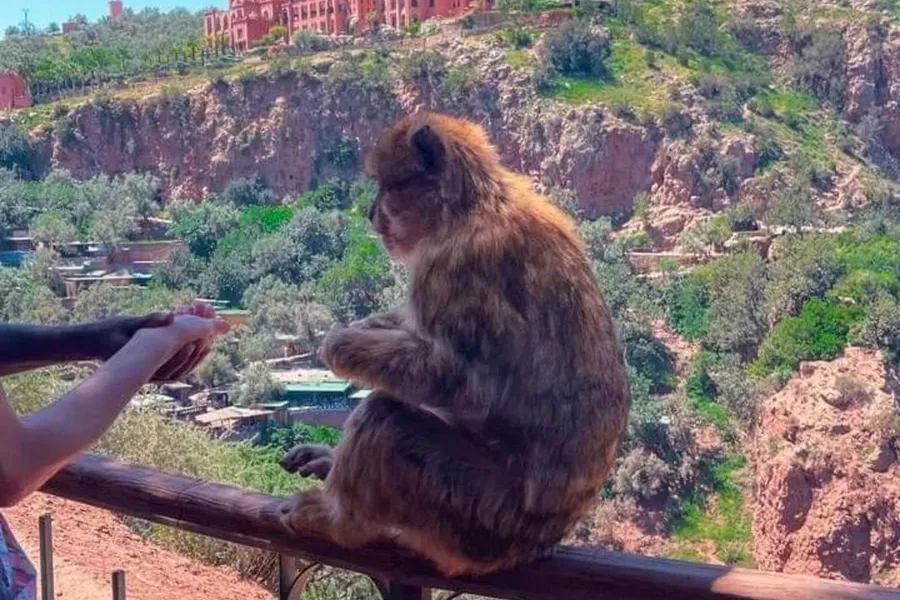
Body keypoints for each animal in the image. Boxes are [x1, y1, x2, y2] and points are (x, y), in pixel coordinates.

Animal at [279, 112, 631, 577]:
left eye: (389, 186)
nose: (372, 214)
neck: (469, 206)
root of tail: (538, 543)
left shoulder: (452, 267)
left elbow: (464, 382)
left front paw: (339, 345)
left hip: (473, 514)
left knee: (388, 423)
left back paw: (338, 522)